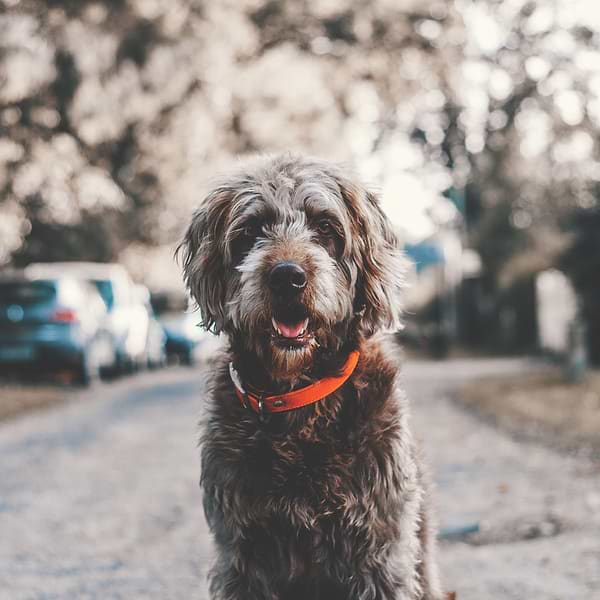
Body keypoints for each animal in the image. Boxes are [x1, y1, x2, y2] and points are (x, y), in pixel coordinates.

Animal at [180, 155, 442, 600]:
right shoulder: (240, 556)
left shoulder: (381, 551)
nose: (287, 277)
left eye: (324, 227)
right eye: (251, 230)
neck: (299, 401)